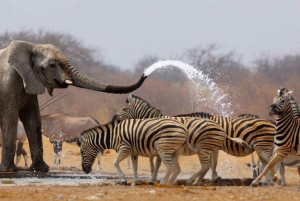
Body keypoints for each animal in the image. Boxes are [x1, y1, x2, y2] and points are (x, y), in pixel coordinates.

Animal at [0, 40, 148, 172]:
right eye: (52, 65)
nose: (144, 74)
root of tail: (95, 120)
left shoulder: (58, 140)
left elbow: (34, 124)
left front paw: (48, 167)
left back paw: (100, 167)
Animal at [113, 94, 286, 185]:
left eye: (124, 109)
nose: (114, 118)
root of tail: (271, 123)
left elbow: (157, 163)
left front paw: (153, 179)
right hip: (262, 147)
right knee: (271, 162)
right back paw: (270, 181)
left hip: (261, 146)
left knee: (271, 162)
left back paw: (270, 180)